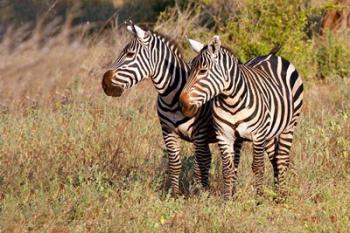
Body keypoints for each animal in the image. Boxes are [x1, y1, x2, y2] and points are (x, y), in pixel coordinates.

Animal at [100, 22, 216, 197]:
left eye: (130, 54)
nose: (104, 83)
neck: (172, 96)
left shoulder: (200, 134)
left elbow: (199, 164)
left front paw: (199, 194)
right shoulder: (167, 130)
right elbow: (175, 164)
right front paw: (175, 194)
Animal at [180, 35, 304, 201]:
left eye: (203, 71)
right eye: (190, 70)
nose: (182, 103)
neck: (231, 102)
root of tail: (271, 55)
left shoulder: (258, 135)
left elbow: (258, 167)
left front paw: (259, 199)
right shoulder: (224, 136)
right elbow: (228, 168)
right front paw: (227, 200)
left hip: (289, 125)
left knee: (282, 158)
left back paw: (282, 196)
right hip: (268, 133)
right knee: (272, 158)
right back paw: (276, 190)